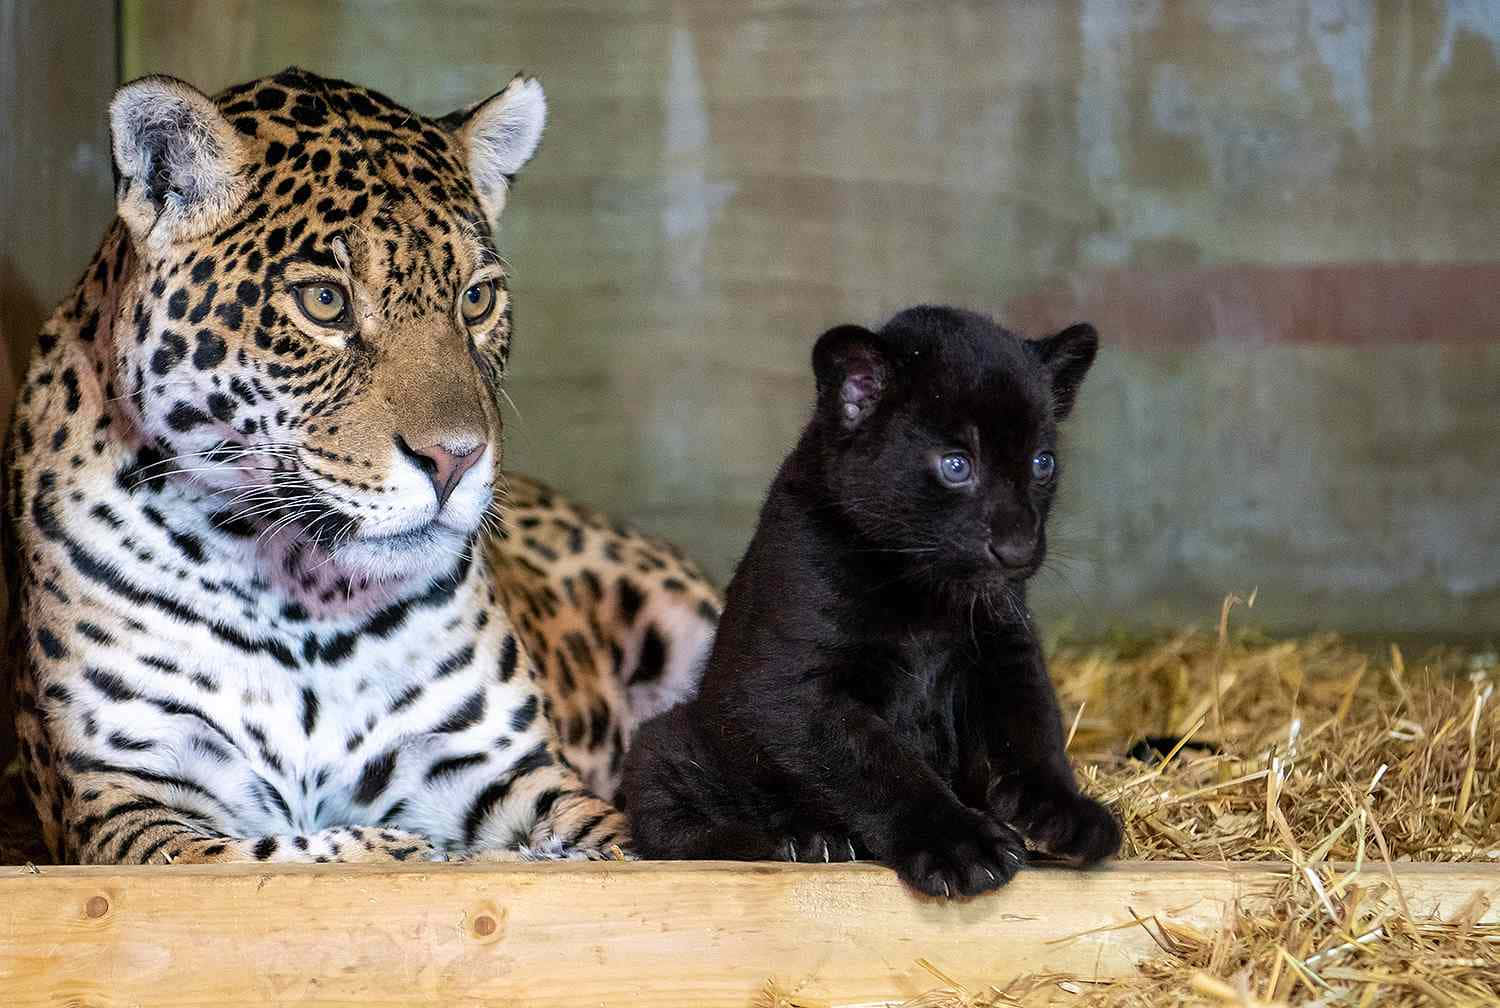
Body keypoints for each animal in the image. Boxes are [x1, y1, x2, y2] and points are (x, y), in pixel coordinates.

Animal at [0, 67, 720, 865]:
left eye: (476, 299)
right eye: (325, 301)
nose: (456, 459)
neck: (297, 596)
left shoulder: (504, 767)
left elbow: (613, 843)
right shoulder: (126, 797)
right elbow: (281, 853)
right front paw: (410, 850)